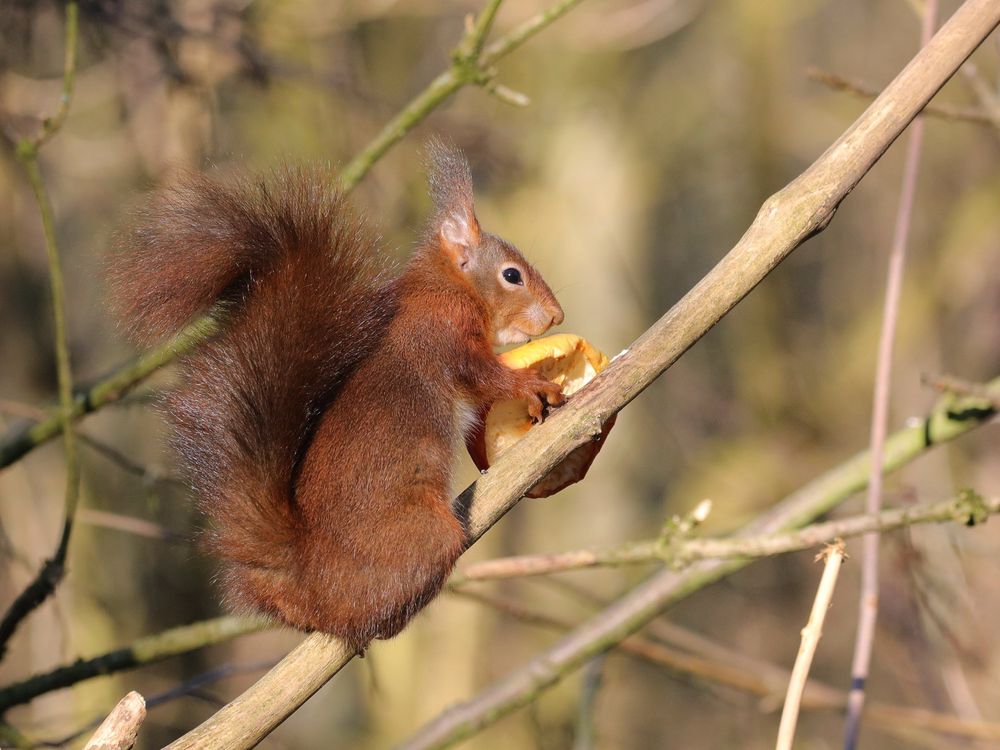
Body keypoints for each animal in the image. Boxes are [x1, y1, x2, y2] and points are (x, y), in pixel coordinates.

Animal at [110, 144, 568, 648]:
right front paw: (533, 386)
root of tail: (305, 572)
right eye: (512, 275)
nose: (556, 315)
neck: (444, 284)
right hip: (428, 539)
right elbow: (485, 375)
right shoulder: (445, 331)